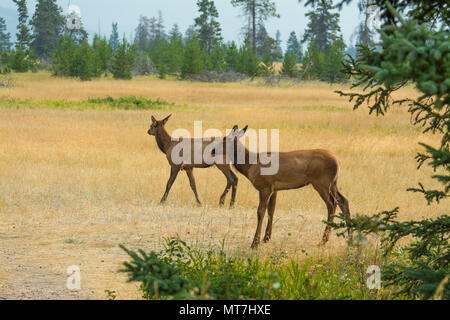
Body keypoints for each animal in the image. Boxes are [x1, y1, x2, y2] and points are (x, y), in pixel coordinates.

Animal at [221, 126, 352, 249]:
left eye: (224, 140)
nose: (214, 150)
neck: (250, 165)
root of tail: (338, 161)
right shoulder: (274, 188)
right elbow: (271, 210)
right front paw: (266, 238)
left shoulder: (265, 187)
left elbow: (260, 211)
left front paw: (255, 243)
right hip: (333, 183)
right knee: (343, 201)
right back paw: (349, 238)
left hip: (322, 183)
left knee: (331, 204)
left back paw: (324, 240)